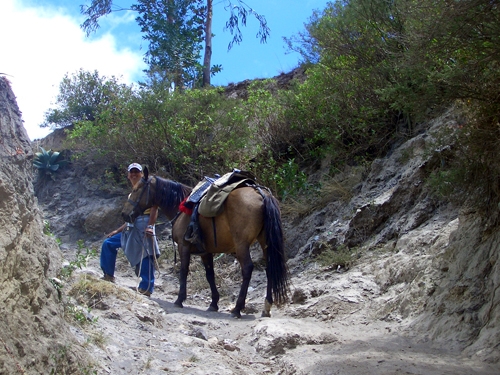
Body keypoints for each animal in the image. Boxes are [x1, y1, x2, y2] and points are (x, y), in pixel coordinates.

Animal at [121, 169, 292, 318]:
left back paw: (237, 309)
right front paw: (214, 303)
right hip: (265, 242)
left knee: (248, 269)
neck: (181, 207)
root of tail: (261, 194)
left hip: (242, 245)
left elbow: (183, 271)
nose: (124, 214)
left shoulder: (184, 247)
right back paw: (266, 307)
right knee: (270, 269)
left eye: (136, 189)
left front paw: (179, 299)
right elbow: (210, 275)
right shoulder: (205, 252)